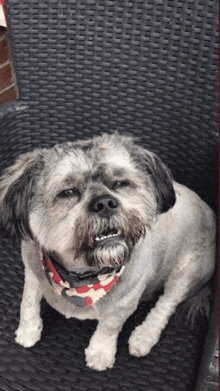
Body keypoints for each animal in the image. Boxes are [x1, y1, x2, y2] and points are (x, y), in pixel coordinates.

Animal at [0, 133, 216, 372]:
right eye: (68, 192)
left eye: (120, 183)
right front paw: (28, 331)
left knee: (167, 302)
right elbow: (28, 302)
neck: (82, 276)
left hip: (189, 269)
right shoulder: (32, 271)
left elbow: (109, 327)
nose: (105, 203)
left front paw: (100, 353)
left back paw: (144, 336)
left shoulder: (125, 303)